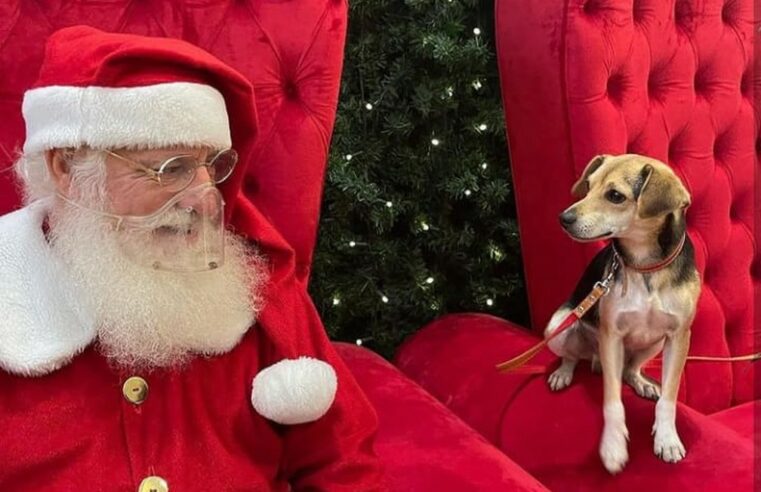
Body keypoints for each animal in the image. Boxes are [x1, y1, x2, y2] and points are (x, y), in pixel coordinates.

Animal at [544, 154, 696, 472]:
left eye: (615, 196)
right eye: (588, 186)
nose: (563, 219)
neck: (645, 265)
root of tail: (593, 360)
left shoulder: (678, 337)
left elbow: (669, 398)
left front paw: (666, 439)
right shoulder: (610, 336)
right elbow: (613, 401)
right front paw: (613, 446)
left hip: (654, 343)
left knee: (629, 369)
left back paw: (642, 383)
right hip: (559, 326)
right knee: (572, 355)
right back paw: (563, 373)